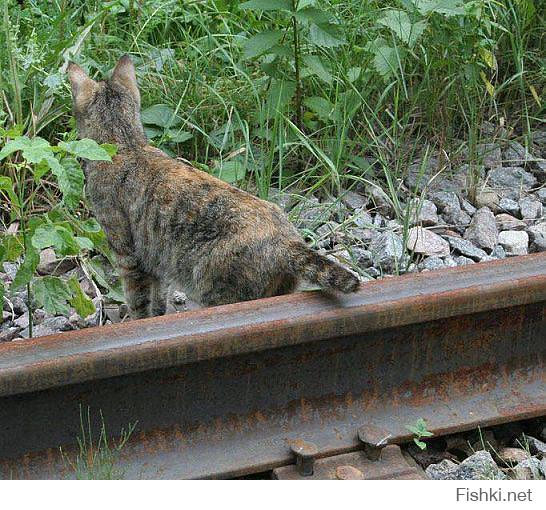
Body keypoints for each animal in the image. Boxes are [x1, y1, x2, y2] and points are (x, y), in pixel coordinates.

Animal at [67, 56, 356, 318]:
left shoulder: (128, 255)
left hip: (218, 291)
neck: (126, 144)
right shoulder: (156, 262)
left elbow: (138, 302)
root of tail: (286, 240)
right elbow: (158, 300)